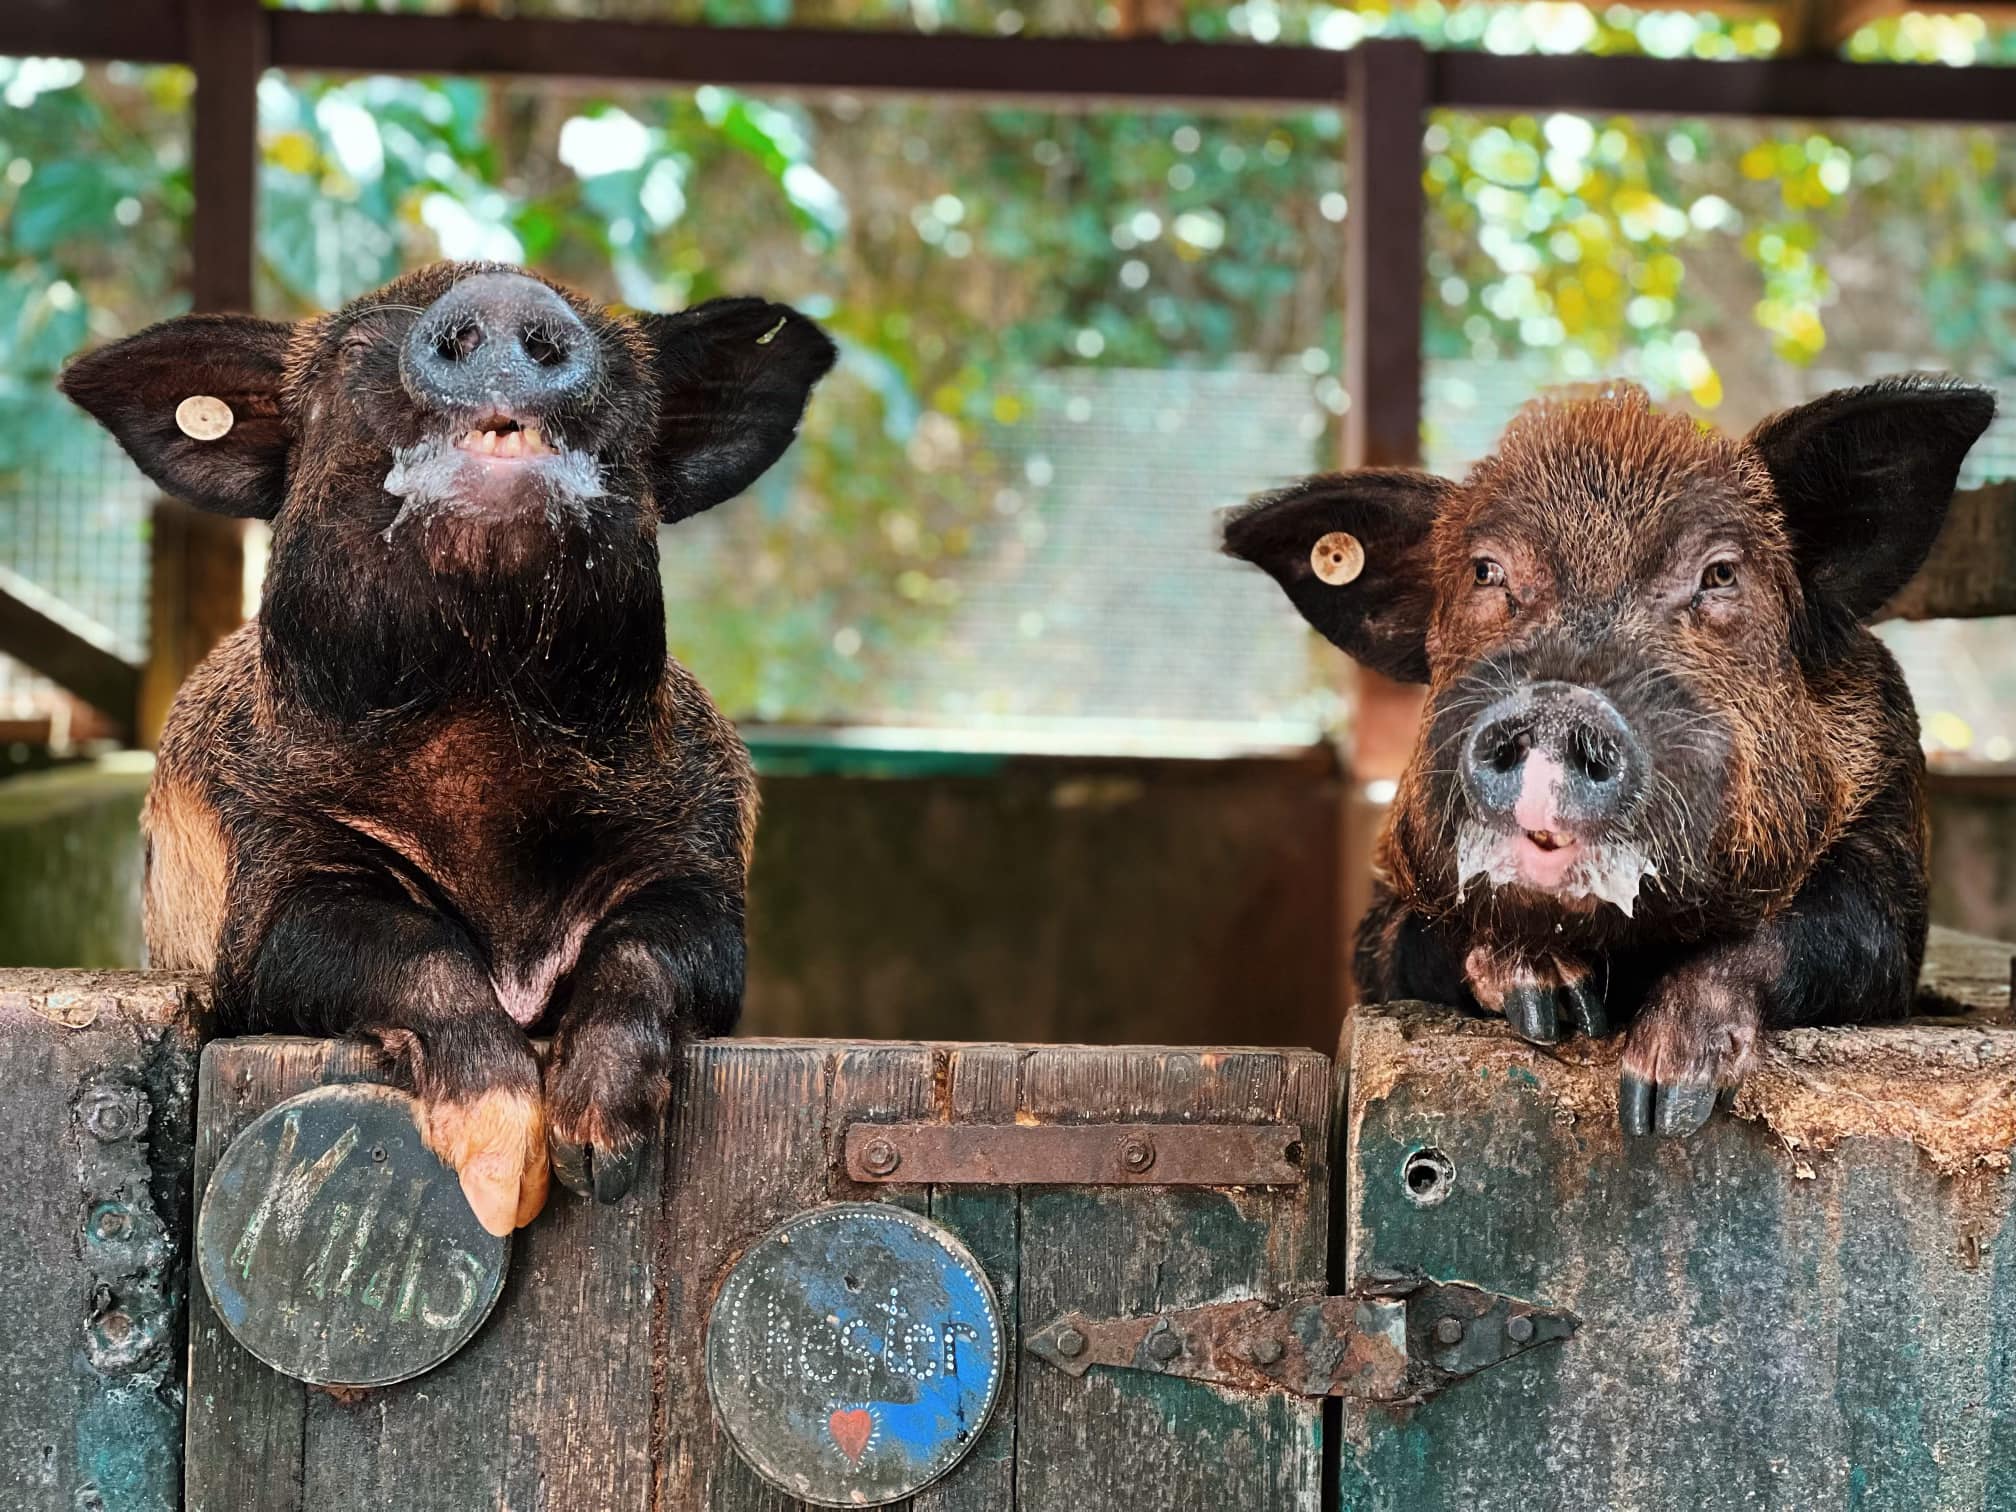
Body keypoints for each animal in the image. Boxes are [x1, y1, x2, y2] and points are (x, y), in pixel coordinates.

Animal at [61, 261, 835, 1231]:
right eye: (351, 358)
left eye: (625, 375)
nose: (503, 294)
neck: (482, 719)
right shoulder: (263, 885)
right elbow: (405, 946)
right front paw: (507, 1190)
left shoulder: (696, 849)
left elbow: (658, 947)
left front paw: (599, 1162)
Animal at [1225, 379, 1995, 1136]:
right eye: (1486, 571)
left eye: (1720, 573)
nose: (1559, 706)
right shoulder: (1387, 901)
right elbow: (1412, 939)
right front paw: (1557, 1012)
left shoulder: (1889, 856)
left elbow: (1830, 934)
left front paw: (1659, 1103)